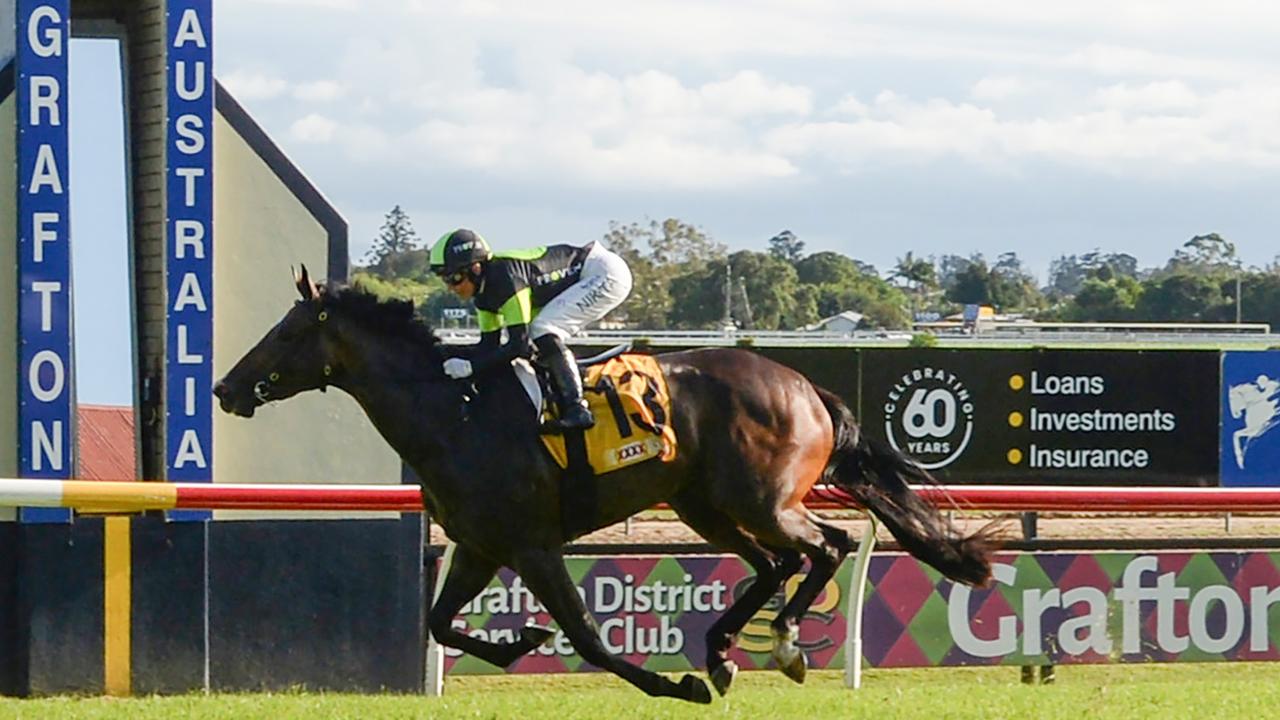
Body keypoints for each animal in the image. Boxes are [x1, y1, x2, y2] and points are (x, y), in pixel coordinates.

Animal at [212, 267, 998, 702]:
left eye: (287, 332)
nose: (226, 387)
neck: (454, 413)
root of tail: (807, 387)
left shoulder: (531, 546)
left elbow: (588, 639)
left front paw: (671, 684)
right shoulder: (479, 545)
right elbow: (437, 622)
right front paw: (519, 640)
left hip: (762, 499)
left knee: (824, 545)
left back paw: (780, 644)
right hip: (702, 503)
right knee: (776, 563)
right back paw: (723, 650)